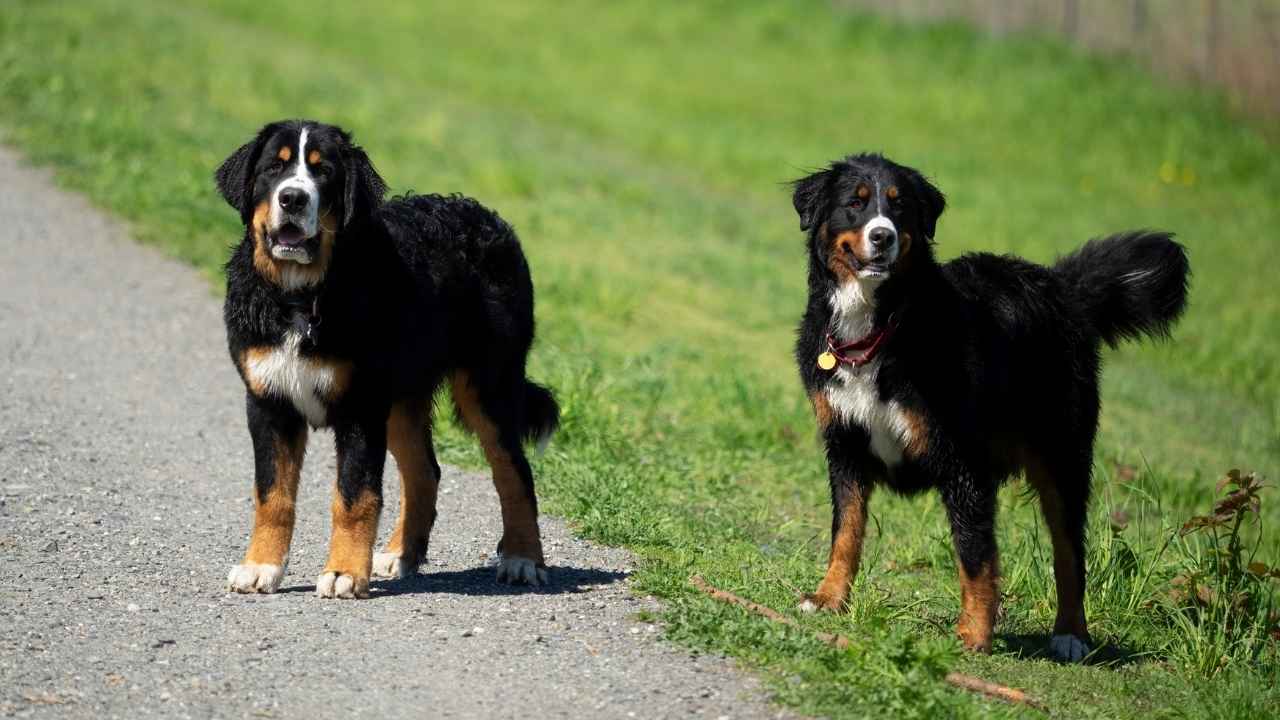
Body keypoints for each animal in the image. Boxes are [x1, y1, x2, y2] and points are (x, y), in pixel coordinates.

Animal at [217, 119, 558, 599]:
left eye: (324, 173)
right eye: (274, 169)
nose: (293, 198)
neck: (303, 296)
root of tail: (489, 218)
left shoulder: (361, 406)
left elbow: (354, 497)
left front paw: (343, 572)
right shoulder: (269, 402)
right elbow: (273, 495)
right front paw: (260, 566)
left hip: (488, 387)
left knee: (515, 473)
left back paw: (523, 558)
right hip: (401, 399)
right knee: (424, 473)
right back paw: (400, 554)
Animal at [788, 154, 1187, 661]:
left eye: (899, 208)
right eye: (855, 204)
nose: (882, 236)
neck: (882, 324)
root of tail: (1060, 286)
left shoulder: (962, 461)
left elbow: (975, 554)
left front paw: (974, 635)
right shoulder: (845, 445)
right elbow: (846, 532)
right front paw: (829, 598)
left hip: (1062, 459)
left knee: (1070, 555)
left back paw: (1071, 635)